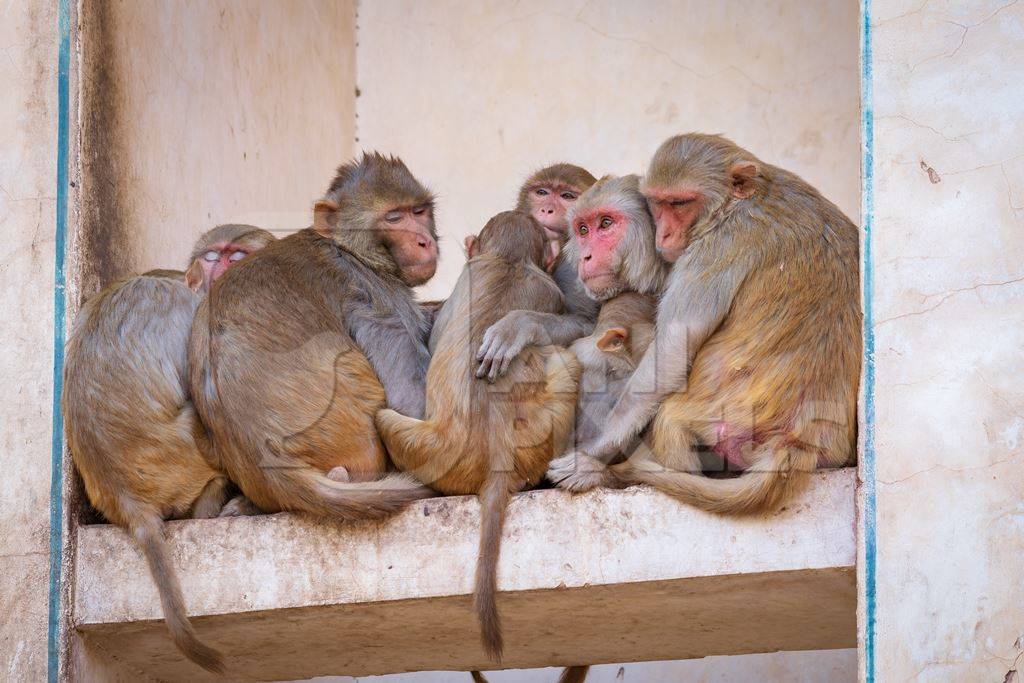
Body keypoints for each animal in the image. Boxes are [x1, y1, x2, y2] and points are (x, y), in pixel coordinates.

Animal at [61, 223, 274, 671]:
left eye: (236, 256)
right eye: (214, 258)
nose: (221, 273)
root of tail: (127, 502)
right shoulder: (196, 314)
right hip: (186, 458)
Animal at [188, 152, 436, 520]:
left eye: (418, 211)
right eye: (394, 217)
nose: (425, 241)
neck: (346, 247)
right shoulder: (374, 293)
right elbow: (409, 399)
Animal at [376, 211, 585, 663]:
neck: (508, 261)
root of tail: (496, 457)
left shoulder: (468, 277)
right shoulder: (549, 289)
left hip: (429, 454)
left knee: (382, 417)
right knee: (567, 361)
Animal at [473, 163, 598, 382]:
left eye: (567, 196)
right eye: (542, 192)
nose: (547, 209)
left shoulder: (576, 265)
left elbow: (589, 324)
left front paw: (520, 324)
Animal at [548, 135, 860, 511]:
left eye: (606, 224)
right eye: (582, 229)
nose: (585, 255)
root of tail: (801, 439)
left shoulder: (714, 245)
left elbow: (668, 353)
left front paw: (592, 456)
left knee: (669, 417)